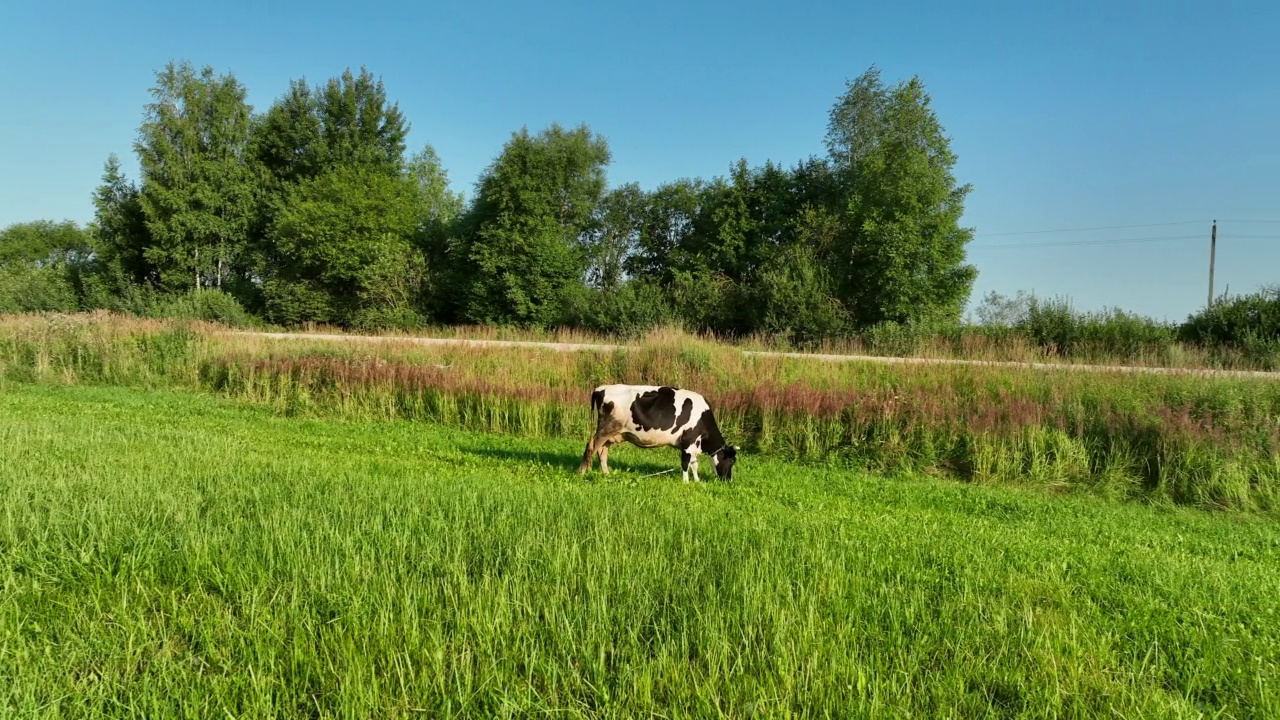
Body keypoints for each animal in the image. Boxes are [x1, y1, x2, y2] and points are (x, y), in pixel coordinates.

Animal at [576, 381, 737, 481]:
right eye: (732, 461)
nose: (728, 480)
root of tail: (601, 388)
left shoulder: (693, 445)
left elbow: (694, 464)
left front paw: (697, 481)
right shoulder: (688, 441)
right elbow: (686, 463)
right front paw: (686, 482)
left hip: (612, 433)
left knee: (602, 451)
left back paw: (607, 474)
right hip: (606, 429)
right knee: (591, 447)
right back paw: (582, 472)